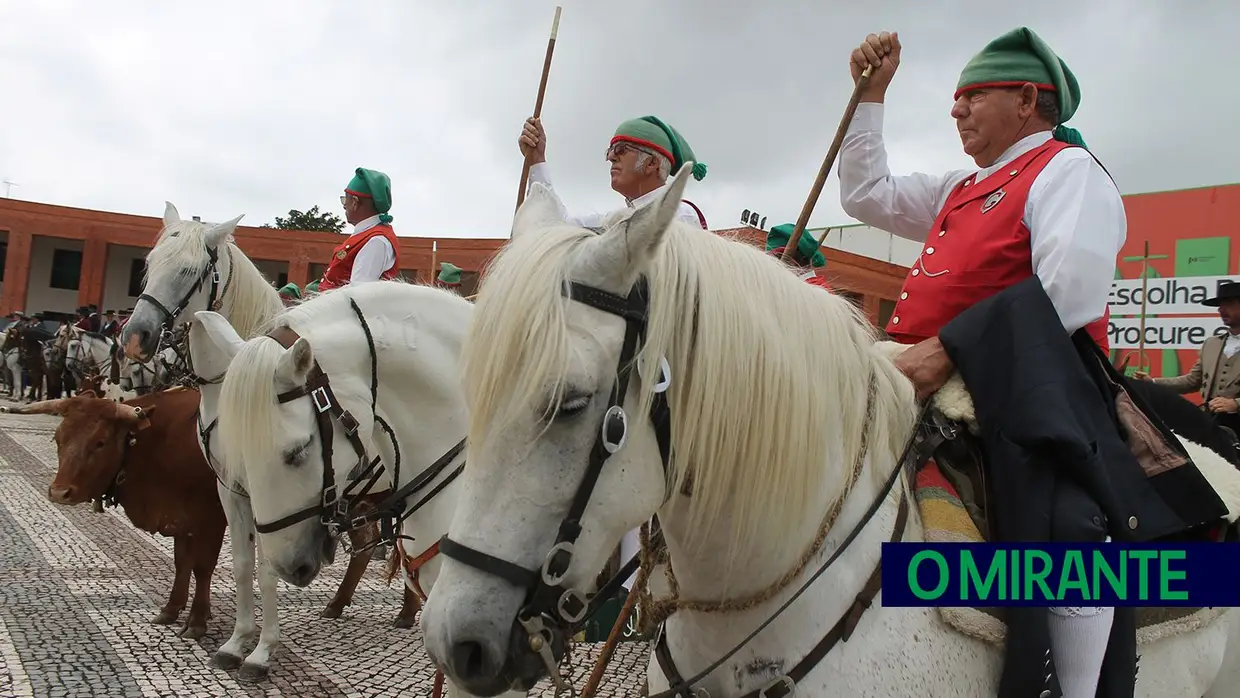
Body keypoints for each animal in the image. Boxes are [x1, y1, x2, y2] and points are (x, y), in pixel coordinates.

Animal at [192, 281, 523, 694]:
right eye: (241, 455)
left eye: (298, 451)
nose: (290, 566)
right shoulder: (233, 492)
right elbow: (243, 563)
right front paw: (238, 643)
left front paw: (258, 651)